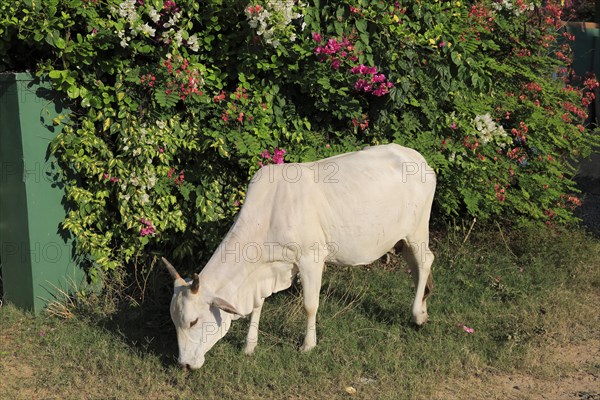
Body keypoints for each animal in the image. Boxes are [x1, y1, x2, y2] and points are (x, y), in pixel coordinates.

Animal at [164, 143, 436, 368]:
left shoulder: (310, 258)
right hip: (403, 238)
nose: (184, 364)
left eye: (193, 321)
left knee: (425, 262)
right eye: (175, 323)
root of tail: (418, 157)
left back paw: (417, 316)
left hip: (417, 230)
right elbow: (257, 305)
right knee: (416, 267)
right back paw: (423, 306)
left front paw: (307, 345)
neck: (268, 215)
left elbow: (310, 305)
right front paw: (249, 346)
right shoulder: (264, 271)